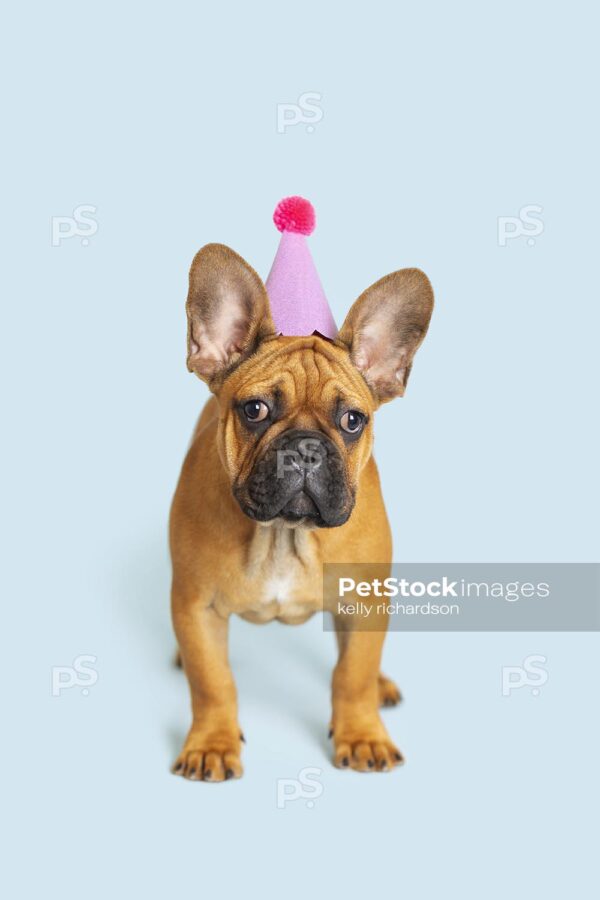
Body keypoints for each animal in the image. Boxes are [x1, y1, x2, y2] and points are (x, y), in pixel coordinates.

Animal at [169, 244, 432, 780]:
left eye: (352, 421)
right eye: (254, 410)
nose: (306, 448)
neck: (282, 534)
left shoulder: (366, 603)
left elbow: (352, 674)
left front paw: (362, 735)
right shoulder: (195, 604)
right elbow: (213, 682)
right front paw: (213, 744)